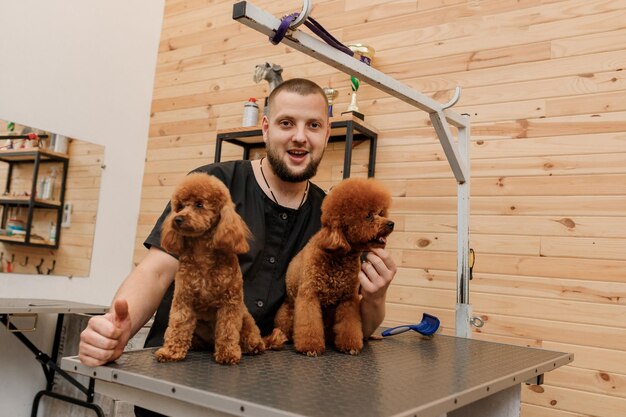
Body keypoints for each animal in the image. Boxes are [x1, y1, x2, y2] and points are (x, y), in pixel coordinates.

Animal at [156, 172, 266, 364]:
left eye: (199, 205)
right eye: (180, 206)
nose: (177, 219)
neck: (203, 256)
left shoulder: (230, 303)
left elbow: (227, 330)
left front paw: (228, 354)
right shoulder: (183, 299)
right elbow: (178, 326)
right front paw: (170, 351)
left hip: (245, 319)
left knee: (251, 337)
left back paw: (254, 347)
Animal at [264, 177, 392, 356]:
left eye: (381, 213)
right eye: (368, 216)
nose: (391, 223)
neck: (339, 257)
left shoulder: (348, 299)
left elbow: (349, 325)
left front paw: (350, 345)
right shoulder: (309, 295)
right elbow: (309, 324)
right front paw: (310, 347)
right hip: (288, 313)